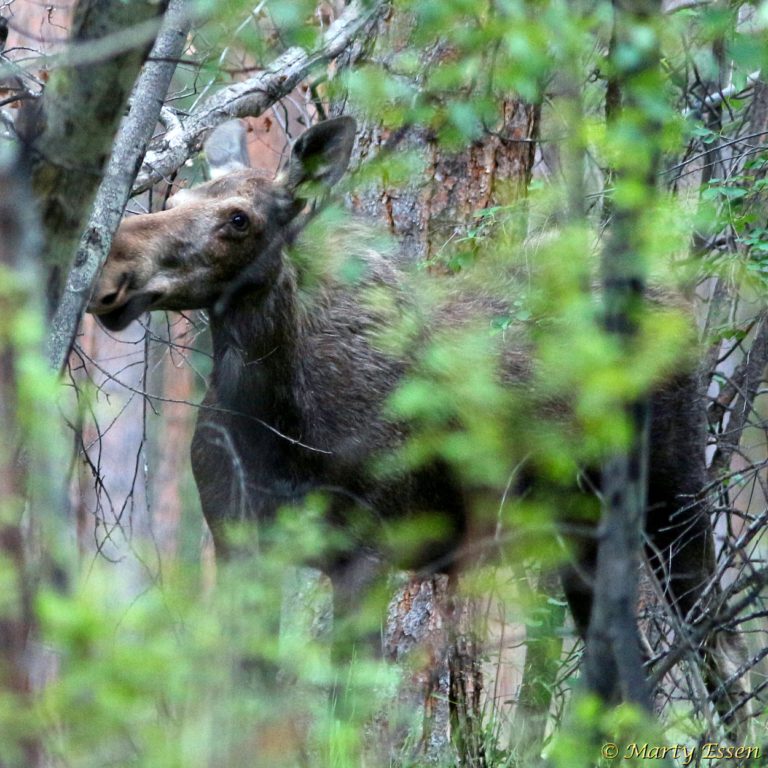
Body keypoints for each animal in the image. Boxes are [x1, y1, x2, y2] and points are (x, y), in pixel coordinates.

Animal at [87, 116, 747, 726]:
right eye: (173, 199)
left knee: (721, 643)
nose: (111, 272)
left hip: (674, 492)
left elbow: (348, 714)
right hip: (580, 529)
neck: (275, 420)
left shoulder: (366, 553)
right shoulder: (239, 548)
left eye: (238, 219)